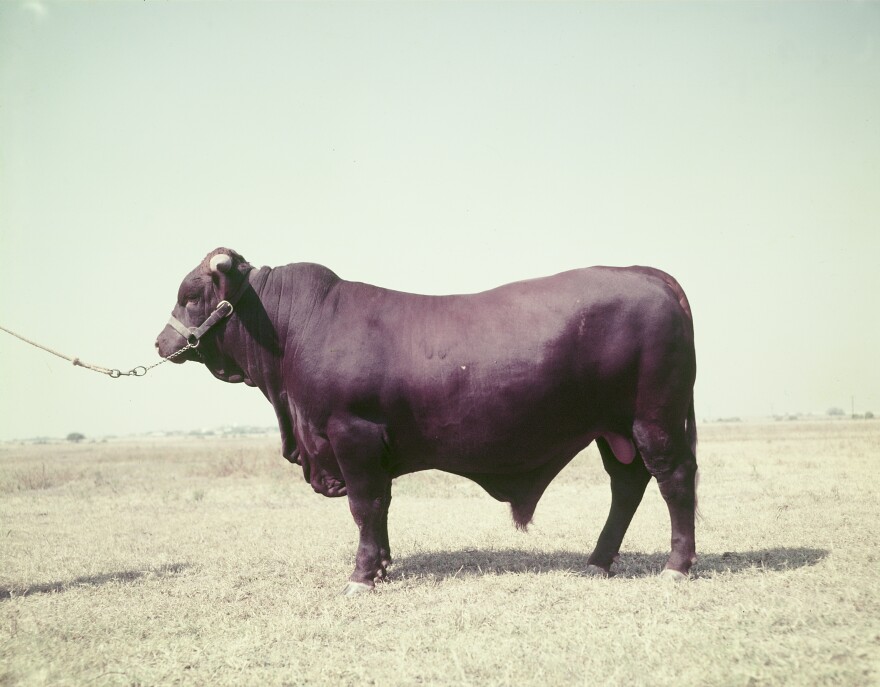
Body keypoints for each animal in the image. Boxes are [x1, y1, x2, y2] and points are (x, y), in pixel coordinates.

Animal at [155, 250, 696, 592]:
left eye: (191, 294)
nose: (160, 342)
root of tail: (647, 274)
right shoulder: (371, 448)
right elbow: (381, 507)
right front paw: (382, 567)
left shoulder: (353, 434)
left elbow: (365, 506)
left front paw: (361, 577)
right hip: (615, 430)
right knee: (627, 485)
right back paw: (598, 563)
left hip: (654, 418)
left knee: (674, 481)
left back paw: (676, 567)